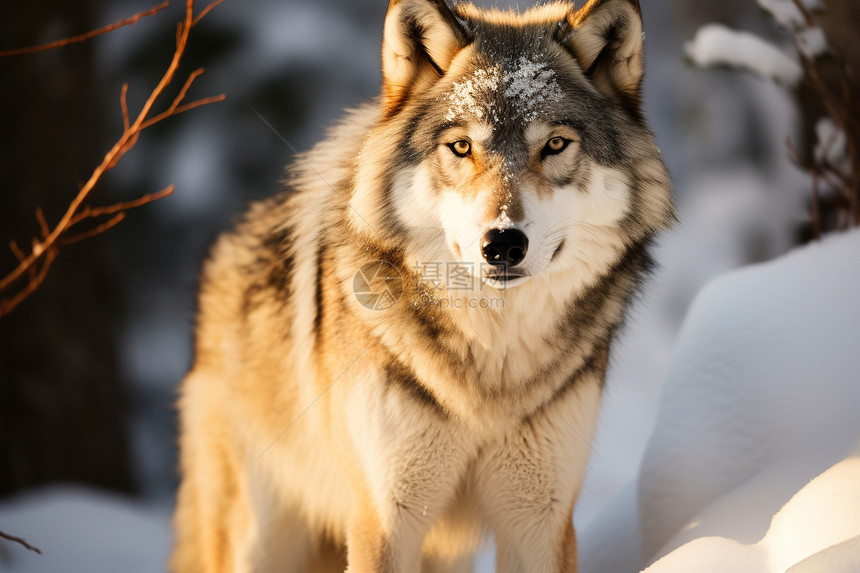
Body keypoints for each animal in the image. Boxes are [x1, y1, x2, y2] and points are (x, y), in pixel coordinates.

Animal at [171, 0, 676, 568]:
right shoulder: (386, 519)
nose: (503, 244)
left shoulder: (538, 522)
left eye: (555, 145)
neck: (491, 358)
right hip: (260, 538)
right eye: (461, 147)